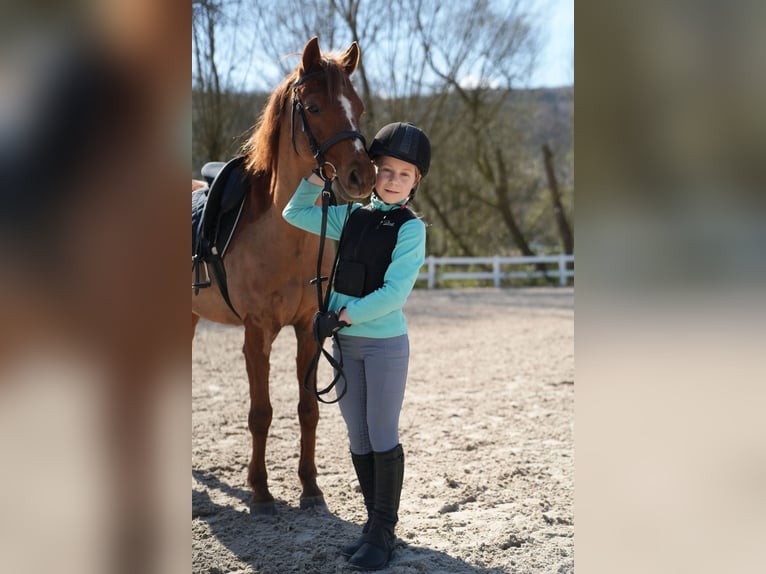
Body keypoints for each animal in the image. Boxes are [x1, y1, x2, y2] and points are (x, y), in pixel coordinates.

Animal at [191, 37, 376, 514]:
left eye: (358, 107)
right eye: (312, 106)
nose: (363, 176)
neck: (284, 235)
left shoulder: (309, 329)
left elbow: (308, 409)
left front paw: (310, 488)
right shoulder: (257, 333)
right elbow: (261, 414)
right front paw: (260, 491)